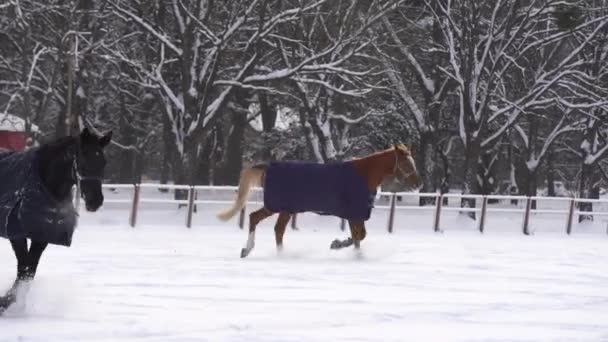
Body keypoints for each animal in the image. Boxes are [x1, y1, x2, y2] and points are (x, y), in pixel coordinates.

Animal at [0, 128, 111, 316]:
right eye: (84, 158)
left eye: (103, 162)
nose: (95, 201)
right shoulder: (16, 233)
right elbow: (24, 268)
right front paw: (5, 302)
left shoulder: (42, 236)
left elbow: (29, 271)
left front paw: (14, 303)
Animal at [216, 143, 420, 258]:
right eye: (406, 163)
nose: (419, 183)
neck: (363, 176)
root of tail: (268, 166)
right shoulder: (354, 214)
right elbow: (358, 237)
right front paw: (340, 246)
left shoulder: (356, 215)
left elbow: (358, 237)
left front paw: (344, 247)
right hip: (279, 206)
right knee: (263, 223)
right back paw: (261, 251)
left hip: (282, 208)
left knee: (269, 225)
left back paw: (264, 252)